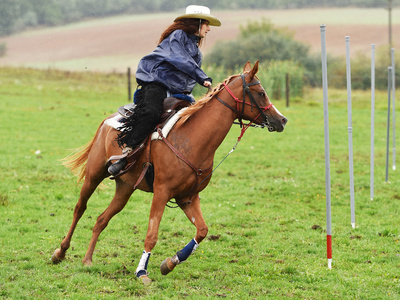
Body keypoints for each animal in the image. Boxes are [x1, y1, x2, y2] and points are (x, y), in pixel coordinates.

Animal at [50, 61, 288, 284]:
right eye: (261, 93)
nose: (282, 120)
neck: (192, 139)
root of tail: (108, 120)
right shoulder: (162, 193)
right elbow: (152, 235)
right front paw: (142, 272)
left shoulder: (188, 197)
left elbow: (202, 231)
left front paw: (170, 263)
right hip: (94, 174)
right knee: (80, 208)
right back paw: (60, 253)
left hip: (125, 188)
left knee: (101, 220)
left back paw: (88, 259)